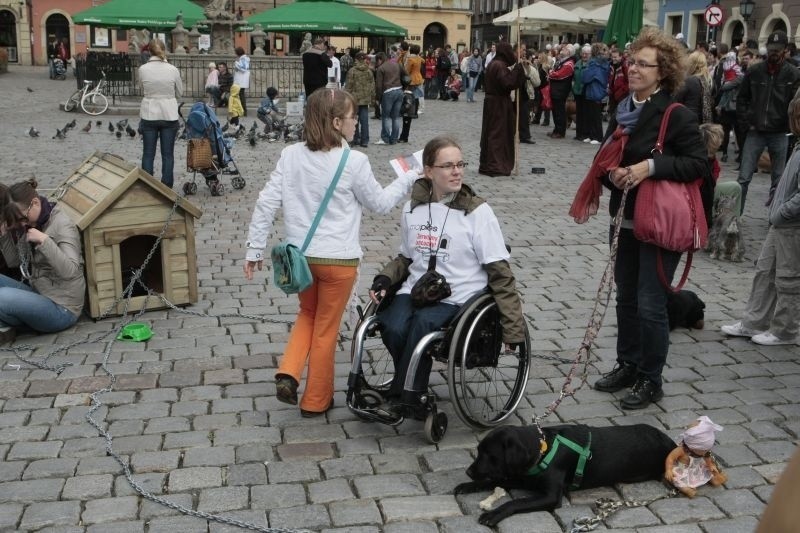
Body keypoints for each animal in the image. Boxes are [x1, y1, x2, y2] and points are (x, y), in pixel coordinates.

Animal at [456, 422, 676, 524]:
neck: (542, 451)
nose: (468, 471)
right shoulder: (523, 477)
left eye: (490, 455)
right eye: (479, 451)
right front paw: (468, 486)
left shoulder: (551, 496)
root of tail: (670, 441)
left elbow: (515, 502)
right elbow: (493, 481)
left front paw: (493, 514)